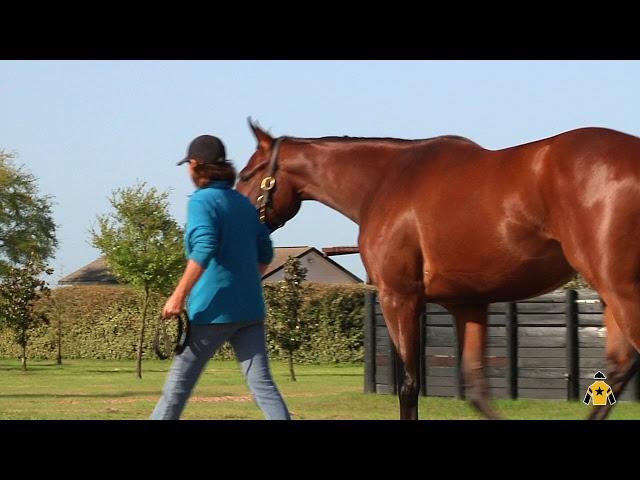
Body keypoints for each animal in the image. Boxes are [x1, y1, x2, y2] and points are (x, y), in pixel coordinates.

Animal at [236, 121, 640, 420]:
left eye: (247, 173)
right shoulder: (468, 305)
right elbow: (476, 389)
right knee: (619, 368)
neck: (385, 182)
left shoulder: (399, 297)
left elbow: (409, 386)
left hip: (619, 289)